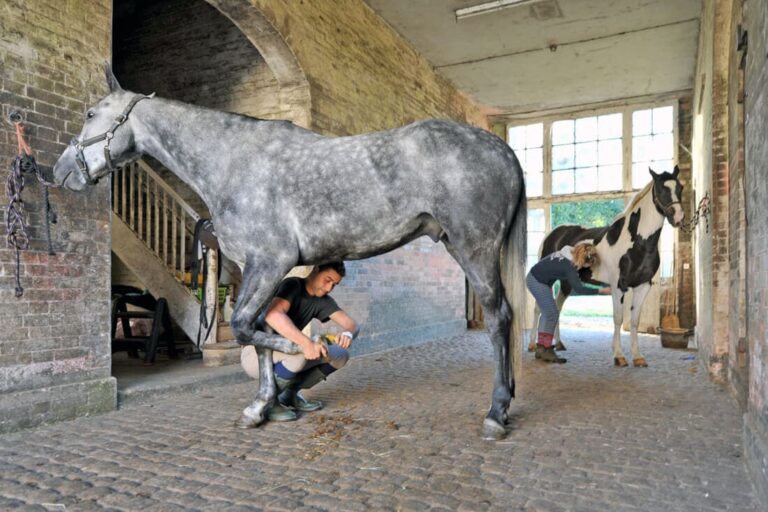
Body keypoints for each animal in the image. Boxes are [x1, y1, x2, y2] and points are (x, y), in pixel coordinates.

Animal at [52, 65, 527, 439]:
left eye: (91, 113)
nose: (60, 171)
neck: (233, 162)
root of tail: (502, 149)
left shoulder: (270, 261)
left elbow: (245, 326)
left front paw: (300, 351)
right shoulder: (261, 269)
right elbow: (257, 327)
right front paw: (263, 405)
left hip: (474, 249)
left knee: (500, 317)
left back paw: (496, 412)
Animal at [527, 167, 685, 367]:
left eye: (680, 187)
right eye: (661, 188)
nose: (678, 216)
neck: (638, 242)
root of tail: (554, 232)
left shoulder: (643, 286)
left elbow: (634, 321)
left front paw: (638, 356)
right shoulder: (618, 286)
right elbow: (618, 319)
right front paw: (619, 356)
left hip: (566, 283)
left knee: (557, 307)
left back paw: (559, 343)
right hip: (549, 279)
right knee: (538, 309)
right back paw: (532, 345)